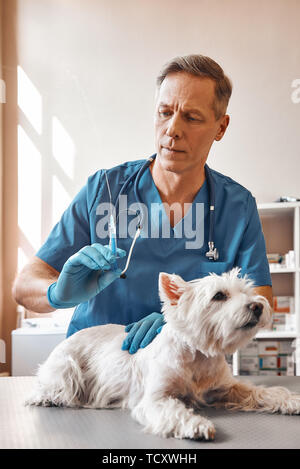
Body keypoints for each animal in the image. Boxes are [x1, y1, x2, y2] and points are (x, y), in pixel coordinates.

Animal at [25, 266, 300, 438]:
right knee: (51, 385)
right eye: (219, 296)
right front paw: (196, 424)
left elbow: (260, 392)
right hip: (66, 366)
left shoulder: (225, 388)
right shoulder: (155, 398)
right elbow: (173, 410)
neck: (198, 356)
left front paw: (290, 400)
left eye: (247, 291)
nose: (257, 306)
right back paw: (48, 397)